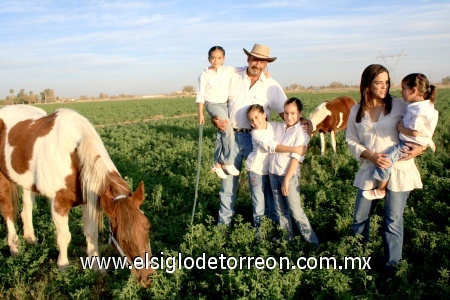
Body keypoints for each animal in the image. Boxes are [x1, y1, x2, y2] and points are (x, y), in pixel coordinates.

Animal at [0, 104, 156, 288]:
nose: (149, 277)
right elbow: (64, 237)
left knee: (27, 208)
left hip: (26, 182)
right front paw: (63, 267)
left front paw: (97, 268)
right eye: (123, 239)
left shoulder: (89, 200)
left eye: (147, 226)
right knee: (8, 211)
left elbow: (92, 233)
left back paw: (30, 238)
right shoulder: (58, 204)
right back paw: (14, 248)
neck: (74, 156)